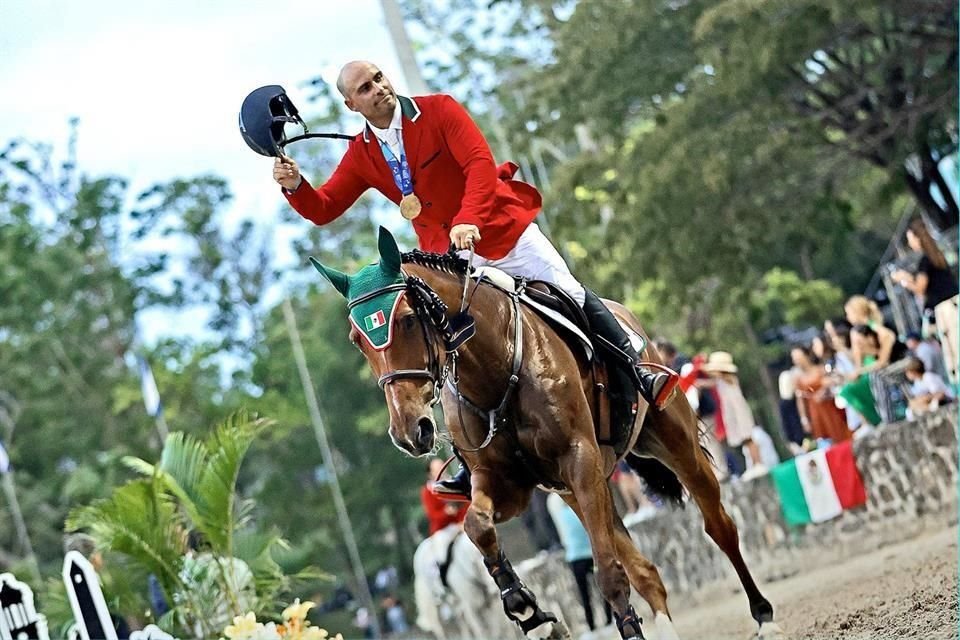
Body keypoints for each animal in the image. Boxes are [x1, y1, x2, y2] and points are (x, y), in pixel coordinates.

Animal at [312, 228, 784, 636]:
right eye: (356, 338)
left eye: (408, 320)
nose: (411, 432)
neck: (494, 369)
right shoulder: (508, 484)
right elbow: (477, 526)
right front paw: (526, 608)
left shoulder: (579, 457)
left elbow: (608, 575)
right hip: (574, 489)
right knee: (646, 570)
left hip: (669, 442)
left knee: (719, 525)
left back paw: (764, 616)